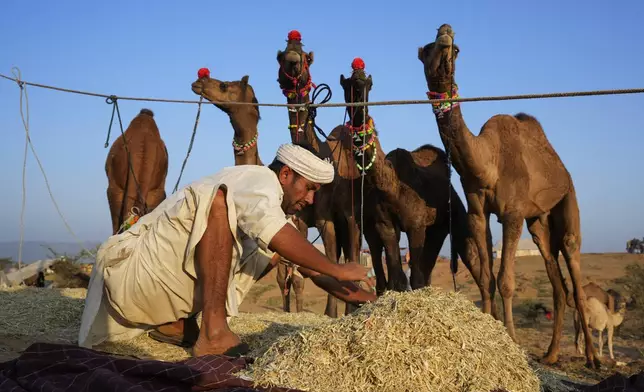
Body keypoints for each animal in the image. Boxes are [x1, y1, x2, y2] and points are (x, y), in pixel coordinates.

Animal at [276, 30, 368, 318]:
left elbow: (340, 259)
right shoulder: (304, 218)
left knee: (350, 251)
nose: (293, 61)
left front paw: (340, 311)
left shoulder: (336, 216)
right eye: (281, 55)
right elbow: (300, 270)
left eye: (306, 57)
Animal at [338, 59, 484, 304]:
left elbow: (413, 277)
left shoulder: (415, 224)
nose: (358, 90)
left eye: (368, 83)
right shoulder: (384, 224)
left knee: (471, 263)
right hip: (435, 229)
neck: (391, 186)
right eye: (347, 84)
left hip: (453, 218)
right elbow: (396, 279)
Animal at [418, 23, 600, 368]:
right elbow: (487, 278)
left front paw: (513, 340)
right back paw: (551, 354)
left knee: (573, 263)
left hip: (568, 198)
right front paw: (489, 332)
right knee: (556, 279)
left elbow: (505, 280)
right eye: (428, 48)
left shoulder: (513, 214)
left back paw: (593, 358)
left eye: (456, 49)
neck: (487, 163)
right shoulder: (478, 212)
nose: (445, 32)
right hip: (539, 221)